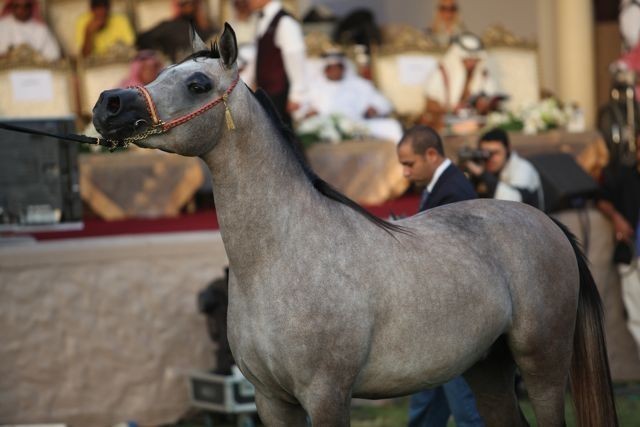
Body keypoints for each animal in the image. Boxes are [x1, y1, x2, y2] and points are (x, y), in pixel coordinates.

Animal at [92, 24, 618, 426]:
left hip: (543, 364)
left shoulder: (326, 395)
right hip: (486, 368)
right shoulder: (271, 401)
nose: (108, 105)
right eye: (161, 72)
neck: (279, 259)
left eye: (198, 83)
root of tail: (550, 225)